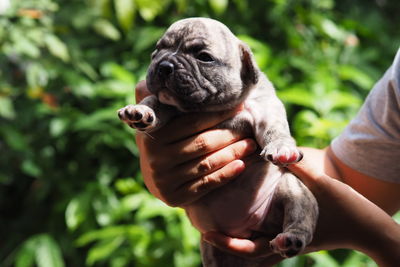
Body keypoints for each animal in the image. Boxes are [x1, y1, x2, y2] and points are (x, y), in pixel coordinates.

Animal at [118, 17, 318, 266]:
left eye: (204, 57)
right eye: (157, 51)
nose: (164, 65)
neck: (210, 107)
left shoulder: (265, 107)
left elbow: (275, 128)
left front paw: (282, 147)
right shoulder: (167, 105)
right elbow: (153, 101)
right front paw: (140, 111)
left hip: (292, 189)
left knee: (300, 217)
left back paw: (290, 239)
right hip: (211, 249)